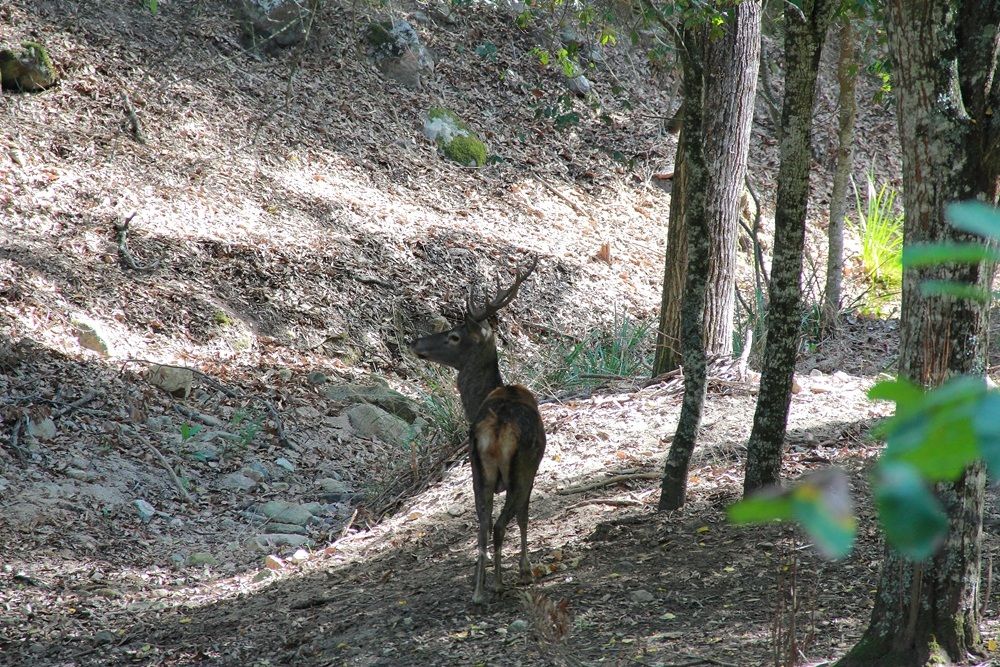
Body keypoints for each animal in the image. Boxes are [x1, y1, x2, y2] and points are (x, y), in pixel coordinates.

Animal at [410, 257, 546, 605]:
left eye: (455, 336)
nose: (415, 342)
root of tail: (497, 425)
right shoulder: (534, 467)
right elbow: (524, 515)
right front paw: (525, 569)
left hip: (476, 466)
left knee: (482, 525)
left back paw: (478, 590)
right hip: (520, 465)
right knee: (499, 523)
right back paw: (498, 583)